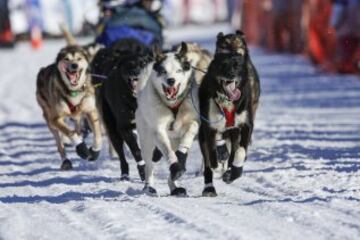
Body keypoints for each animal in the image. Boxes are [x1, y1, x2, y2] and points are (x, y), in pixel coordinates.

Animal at [100, 39, 153, 181]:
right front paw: (143, 171)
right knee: (121, 155)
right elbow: (136, 150)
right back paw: (124, 173)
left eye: (143, 64)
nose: (136, 72)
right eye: (129, 65)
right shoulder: (125, 128)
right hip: (113, 131)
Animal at [136, 44, 201, 197]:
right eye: (163, 71)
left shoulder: (192, 121)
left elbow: (192, 128)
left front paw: (182, 156)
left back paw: (175, 187)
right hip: (147, 140)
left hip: (174, 140)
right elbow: (168, 152)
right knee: (149, 165)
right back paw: (149, 186)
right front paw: (175, 166)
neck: (173, 105)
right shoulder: (158, 130)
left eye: (178, 70)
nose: (171, 80)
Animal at [198, 31, 260, 197]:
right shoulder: (209, 128)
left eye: (236, 65)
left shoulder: (246, 125)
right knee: (209, 162)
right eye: (223, 65)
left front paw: (234, 172)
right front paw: (217, 164)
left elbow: (241, 152)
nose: (231, 74)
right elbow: (212, 154)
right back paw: (209, 187)